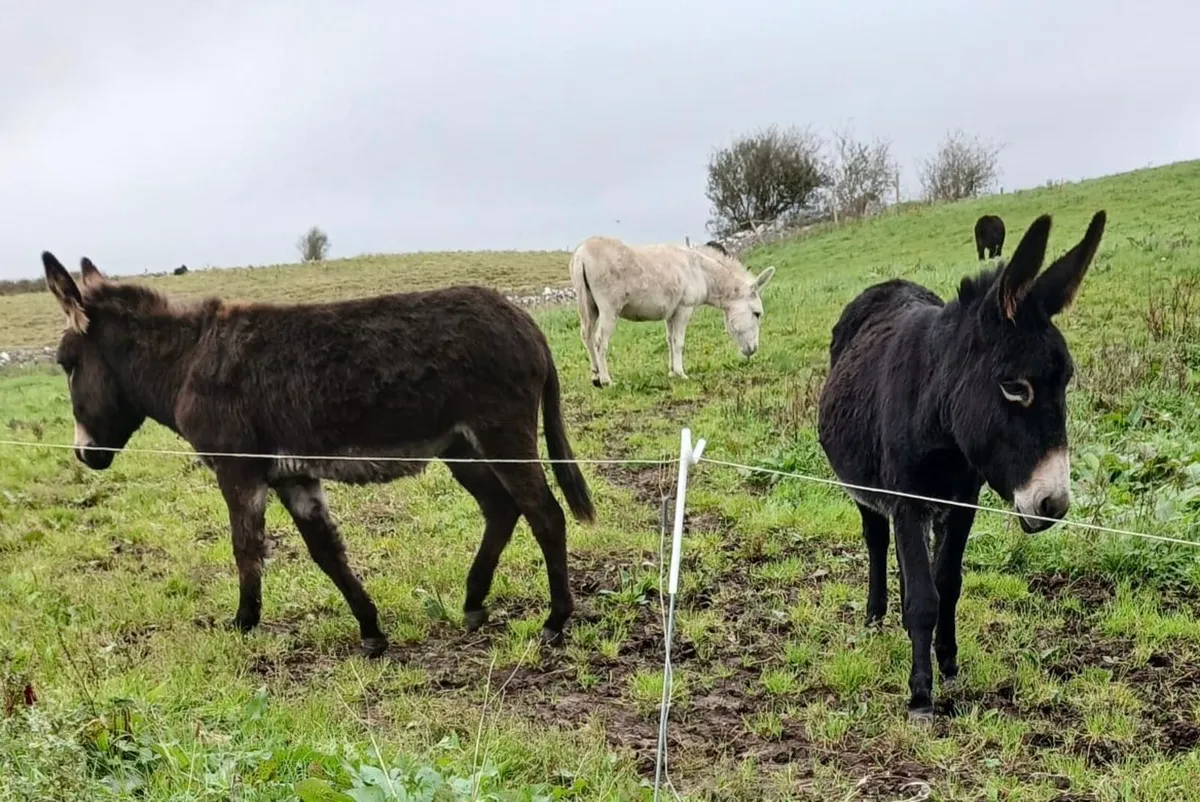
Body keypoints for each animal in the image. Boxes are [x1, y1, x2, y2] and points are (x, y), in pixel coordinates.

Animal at [41, 251, 596, 657]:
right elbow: (326, 551)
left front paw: (243, 624)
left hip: (501, 435)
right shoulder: (293, 476)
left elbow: (245, 547)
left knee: (545, 514)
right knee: (501, 508)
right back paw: (474, 602)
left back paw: (554, 621)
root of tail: (525, 321)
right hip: (460, 447)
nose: (85, 456)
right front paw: (371, 631)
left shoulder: (238, 471)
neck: (188, 363)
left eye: (67, 364)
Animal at [568, 236, 775, 387]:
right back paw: (606, 381)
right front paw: (681, 373)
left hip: (589, 306)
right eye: (757, 314)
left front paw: (671, 371)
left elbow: (669, 340)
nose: (752, 351)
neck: (700, 272)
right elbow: (679, 342)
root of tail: (581, 253)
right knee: (600, 340)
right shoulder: (685, 309)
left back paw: (595, 377)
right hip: (609, 309)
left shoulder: (670, 313)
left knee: (586, 336)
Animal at [816, 211, 1107, 719]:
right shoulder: (906, 500)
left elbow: (947, 582)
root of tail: (886, 285)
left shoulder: (964, 500)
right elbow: (922, 598)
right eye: (1014, 387)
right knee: (876, 540)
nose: (1053, 505)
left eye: (1066, 382)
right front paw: (920, 694)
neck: (941, 421)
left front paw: (948, 663)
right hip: (870, 491)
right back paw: (874, 616)